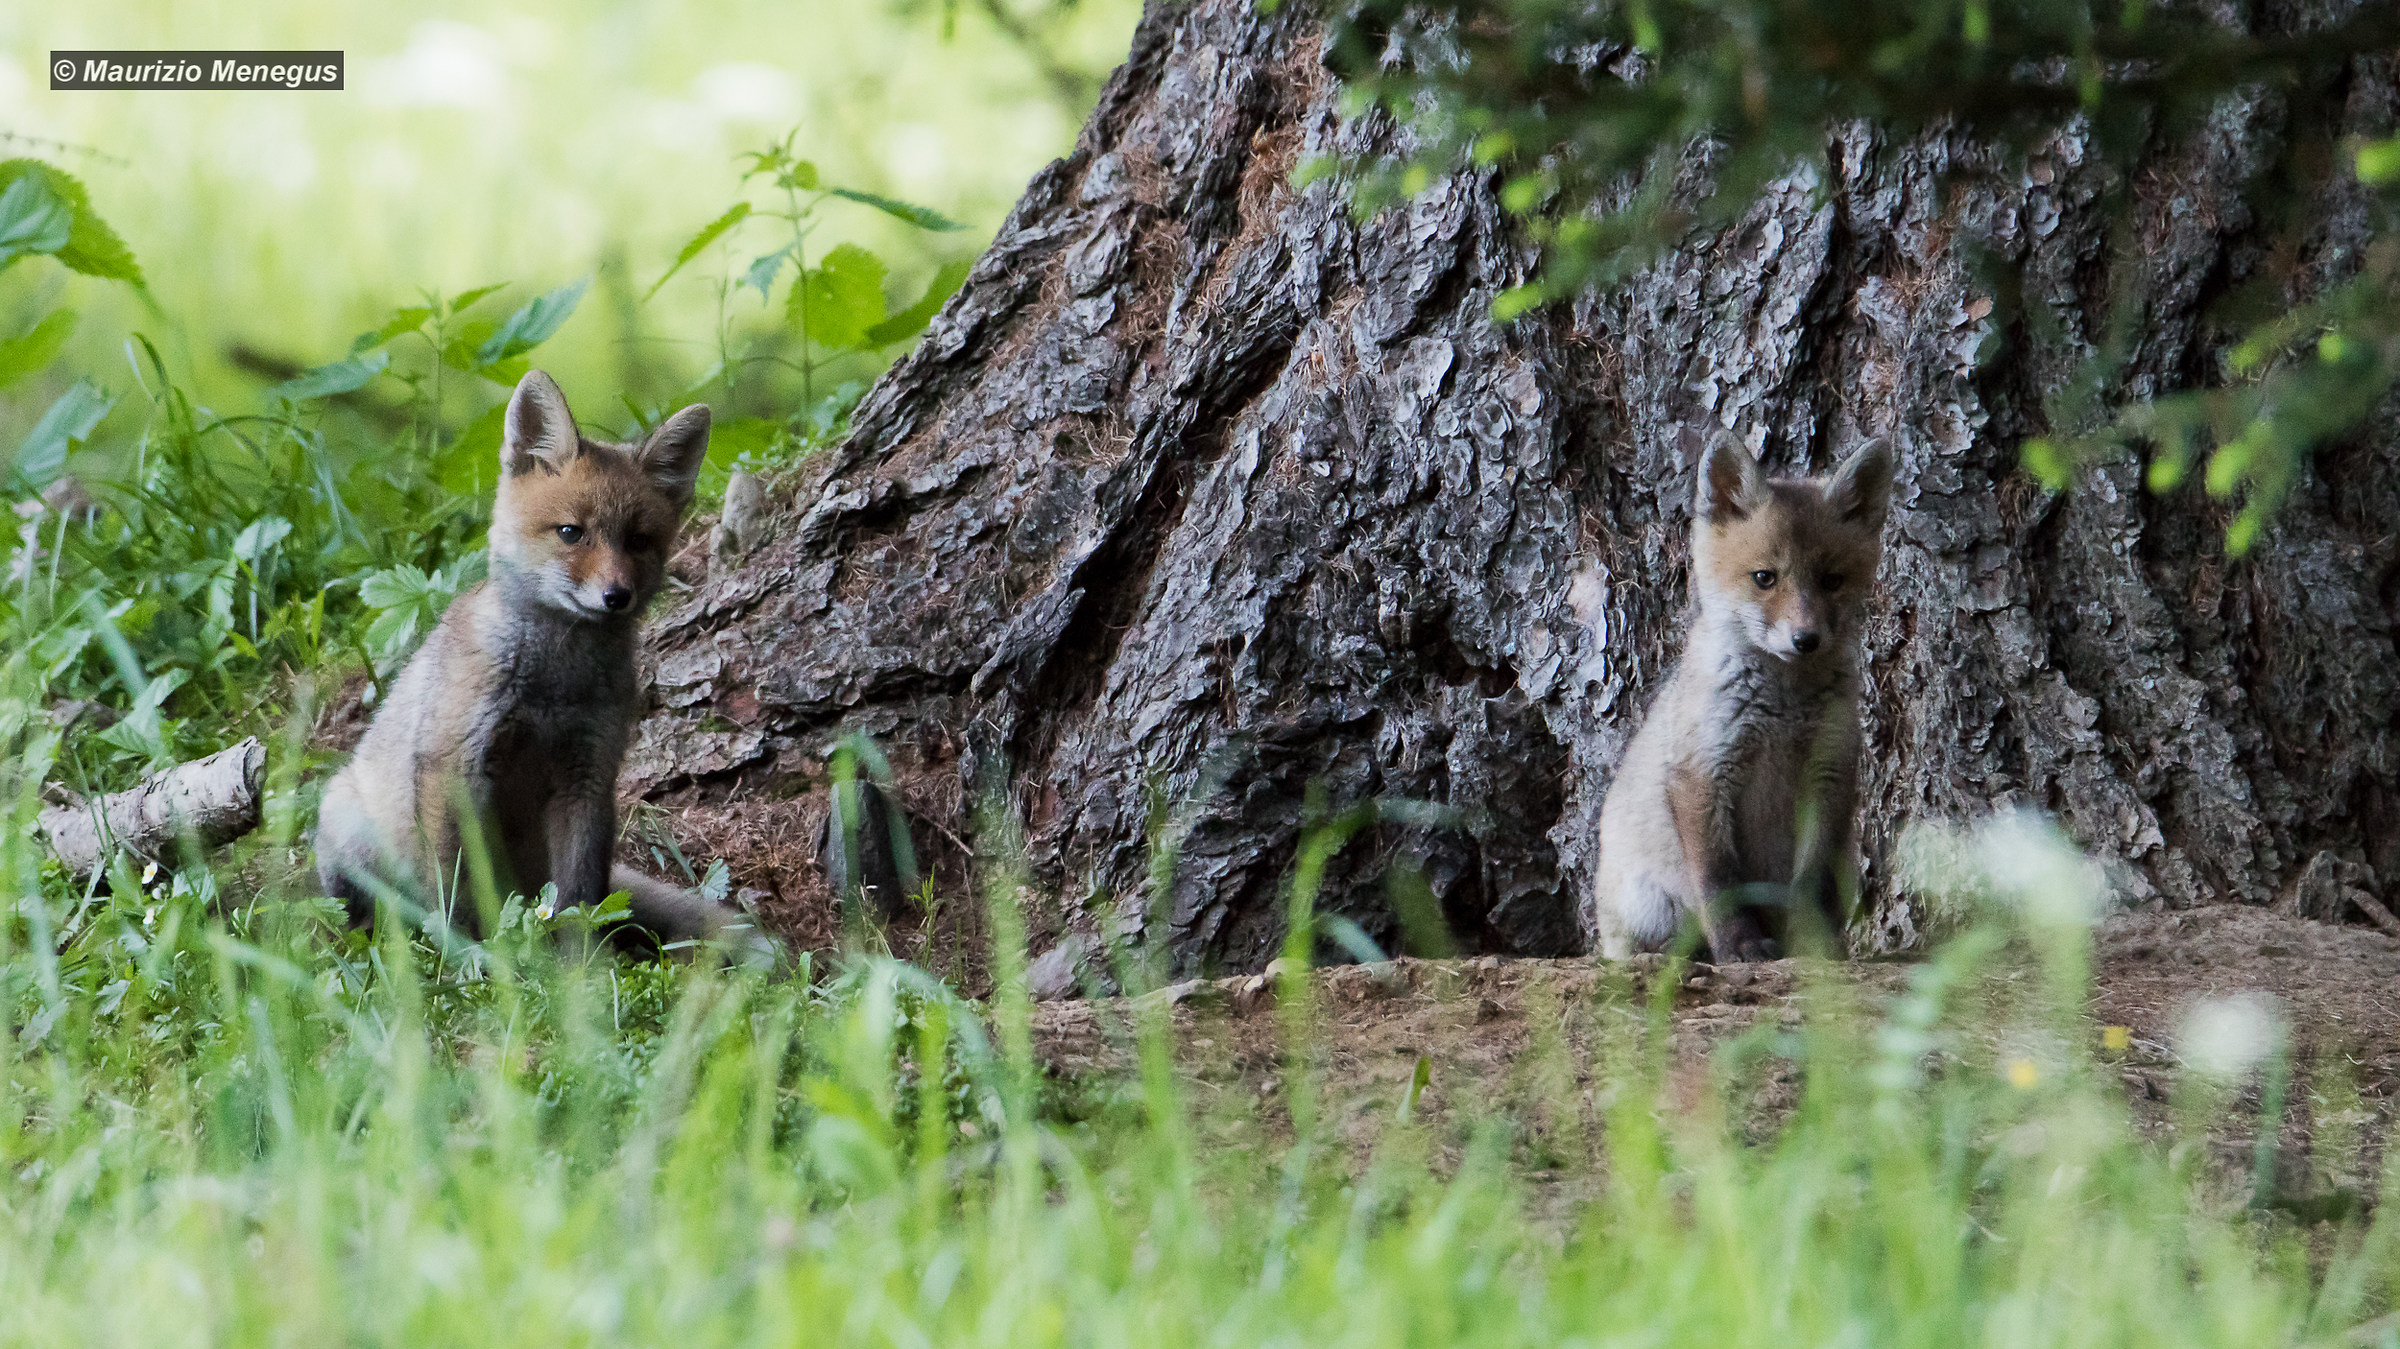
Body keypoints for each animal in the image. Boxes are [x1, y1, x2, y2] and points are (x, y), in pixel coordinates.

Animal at [314, 370, 749, 950]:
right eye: (571, 532)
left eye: (637, 541)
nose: (617, 596)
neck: (551, 686)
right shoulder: (454, 770)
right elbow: (454, 893)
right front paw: (470, 960)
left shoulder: (588, 776)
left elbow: (578, 901)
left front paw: (579, 970)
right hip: (349, 830)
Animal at [1587, 434, 1896, 963]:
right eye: (1764, 578)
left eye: (1831, 581)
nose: (1805, 639)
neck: (1782, 711)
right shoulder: (1703, 774)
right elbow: (1721, 884)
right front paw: (1741, 947)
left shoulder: (1830, 775)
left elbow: (1812, 885)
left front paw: (1816, 949)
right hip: (1649, 904)